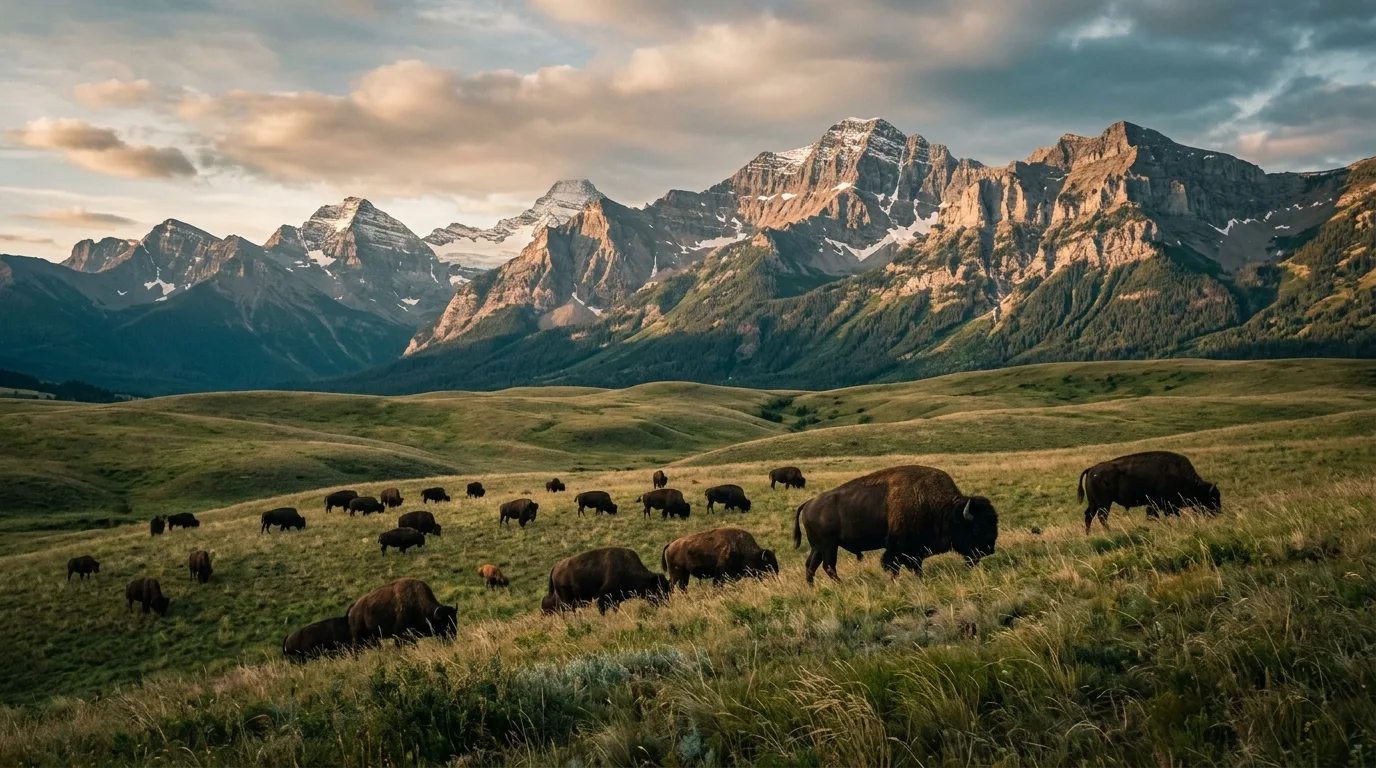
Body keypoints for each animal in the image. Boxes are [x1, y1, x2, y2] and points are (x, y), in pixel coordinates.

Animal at [793, 464, 998, 585]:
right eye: (977, 527)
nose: (990, 549)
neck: (943, 509)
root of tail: (809, 503)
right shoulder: (899, 548)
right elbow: (895, 565)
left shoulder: (913, 551)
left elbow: (913, 566)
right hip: (829, 545)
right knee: (828, 566)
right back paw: (841, 585)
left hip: (819, 547)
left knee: (811, 565)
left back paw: (813, 587)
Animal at [1078, 451, 1221, 533]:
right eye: (1212, 498)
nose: (1218, 512)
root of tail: (1091, 469)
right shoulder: (1160, 504)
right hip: (1104, 504)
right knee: (1101, 517)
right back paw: (1109, 532)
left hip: (1095, 504)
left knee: (1089, 516)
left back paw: (1089, 533)